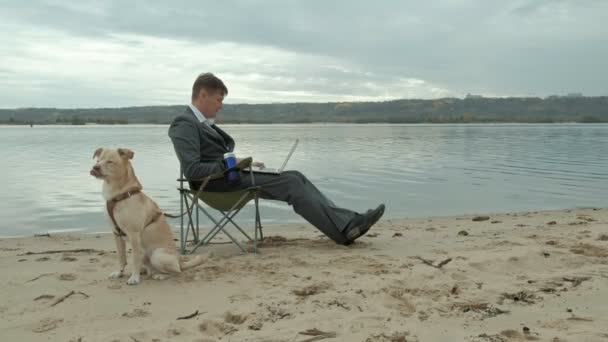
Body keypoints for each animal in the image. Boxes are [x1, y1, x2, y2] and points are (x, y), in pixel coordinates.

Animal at [89, 148, 205, 284]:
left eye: (110, 161)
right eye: (98, 160)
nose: (95, 167)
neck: (118, 195)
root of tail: (180, 261)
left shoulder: (134, 234)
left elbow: (134, 259)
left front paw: (134, 278)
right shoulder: (116, 233)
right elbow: (121, 257)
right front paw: (119, 273)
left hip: (157, 255)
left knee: (177, 272)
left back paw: (160, 275)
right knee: (149, 267)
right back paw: (146, 271)